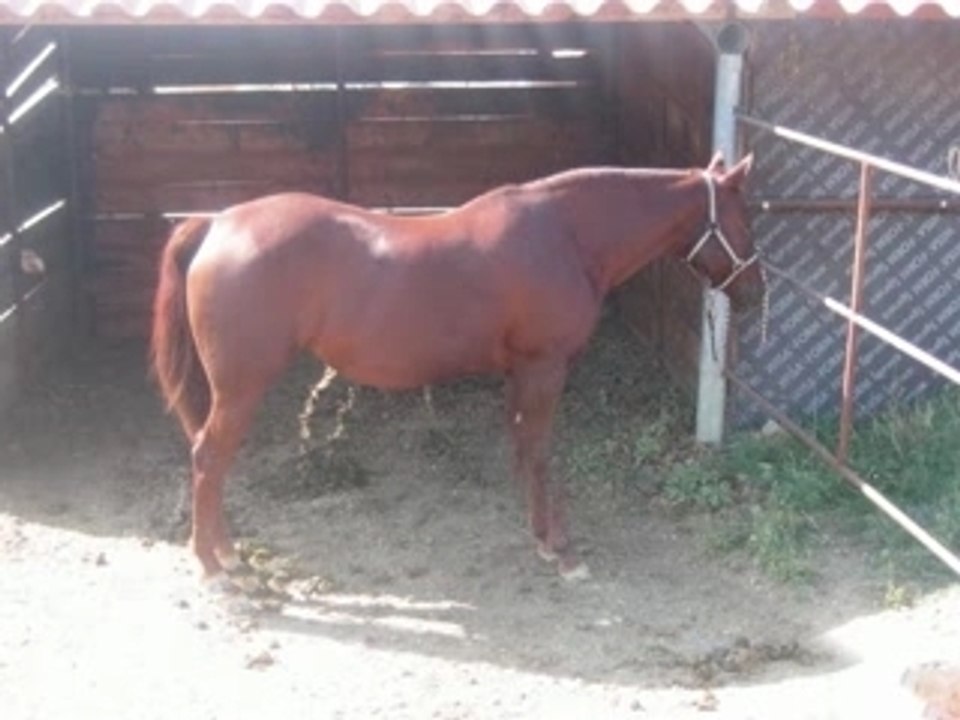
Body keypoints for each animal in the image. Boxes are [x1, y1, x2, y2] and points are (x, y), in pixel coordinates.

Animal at [151, 152, 763, 582]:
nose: (755, 291)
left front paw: (539, 536)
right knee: (209, 457)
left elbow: (523, 448)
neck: (563, 234)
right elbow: (541, 452)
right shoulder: (545, 369)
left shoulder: (519, 373)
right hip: (240, 389)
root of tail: (218, 224)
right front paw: (561, 551)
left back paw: (226, 554)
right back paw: (215, 566)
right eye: (745, 219)